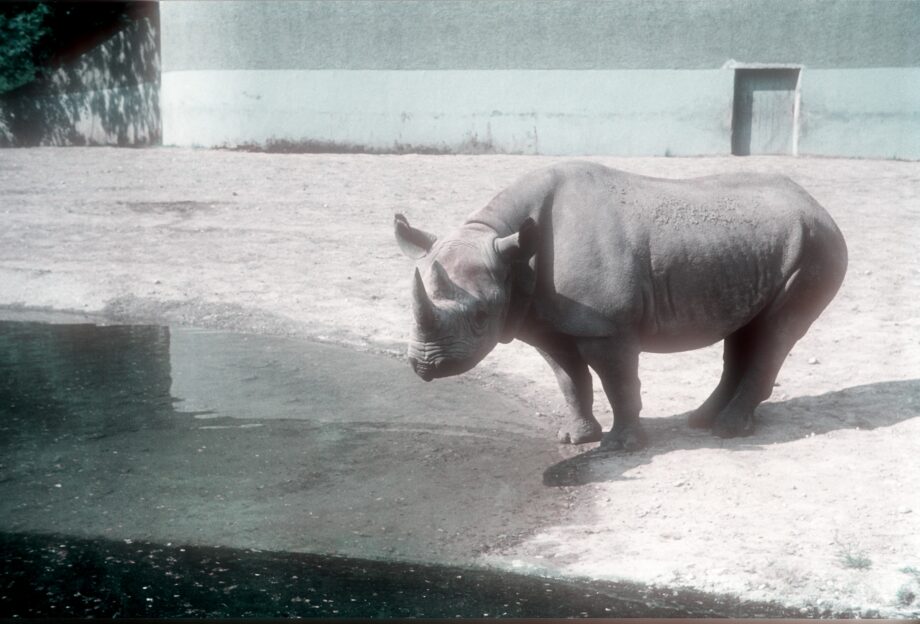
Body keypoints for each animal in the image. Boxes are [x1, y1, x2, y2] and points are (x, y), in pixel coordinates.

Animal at [394, 161, 847, 450]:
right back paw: (705, 421)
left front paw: (623, 445)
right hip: (759, 249)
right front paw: (576, 438)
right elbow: (569, 379)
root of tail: (819, 205)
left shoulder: (606, 326)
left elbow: (618, 380)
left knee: (776, 332)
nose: (425, 365)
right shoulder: (546, 323)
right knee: (746, 330)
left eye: (480, 317)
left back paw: (727, 431)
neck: (503, 244)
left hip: (817, 246)